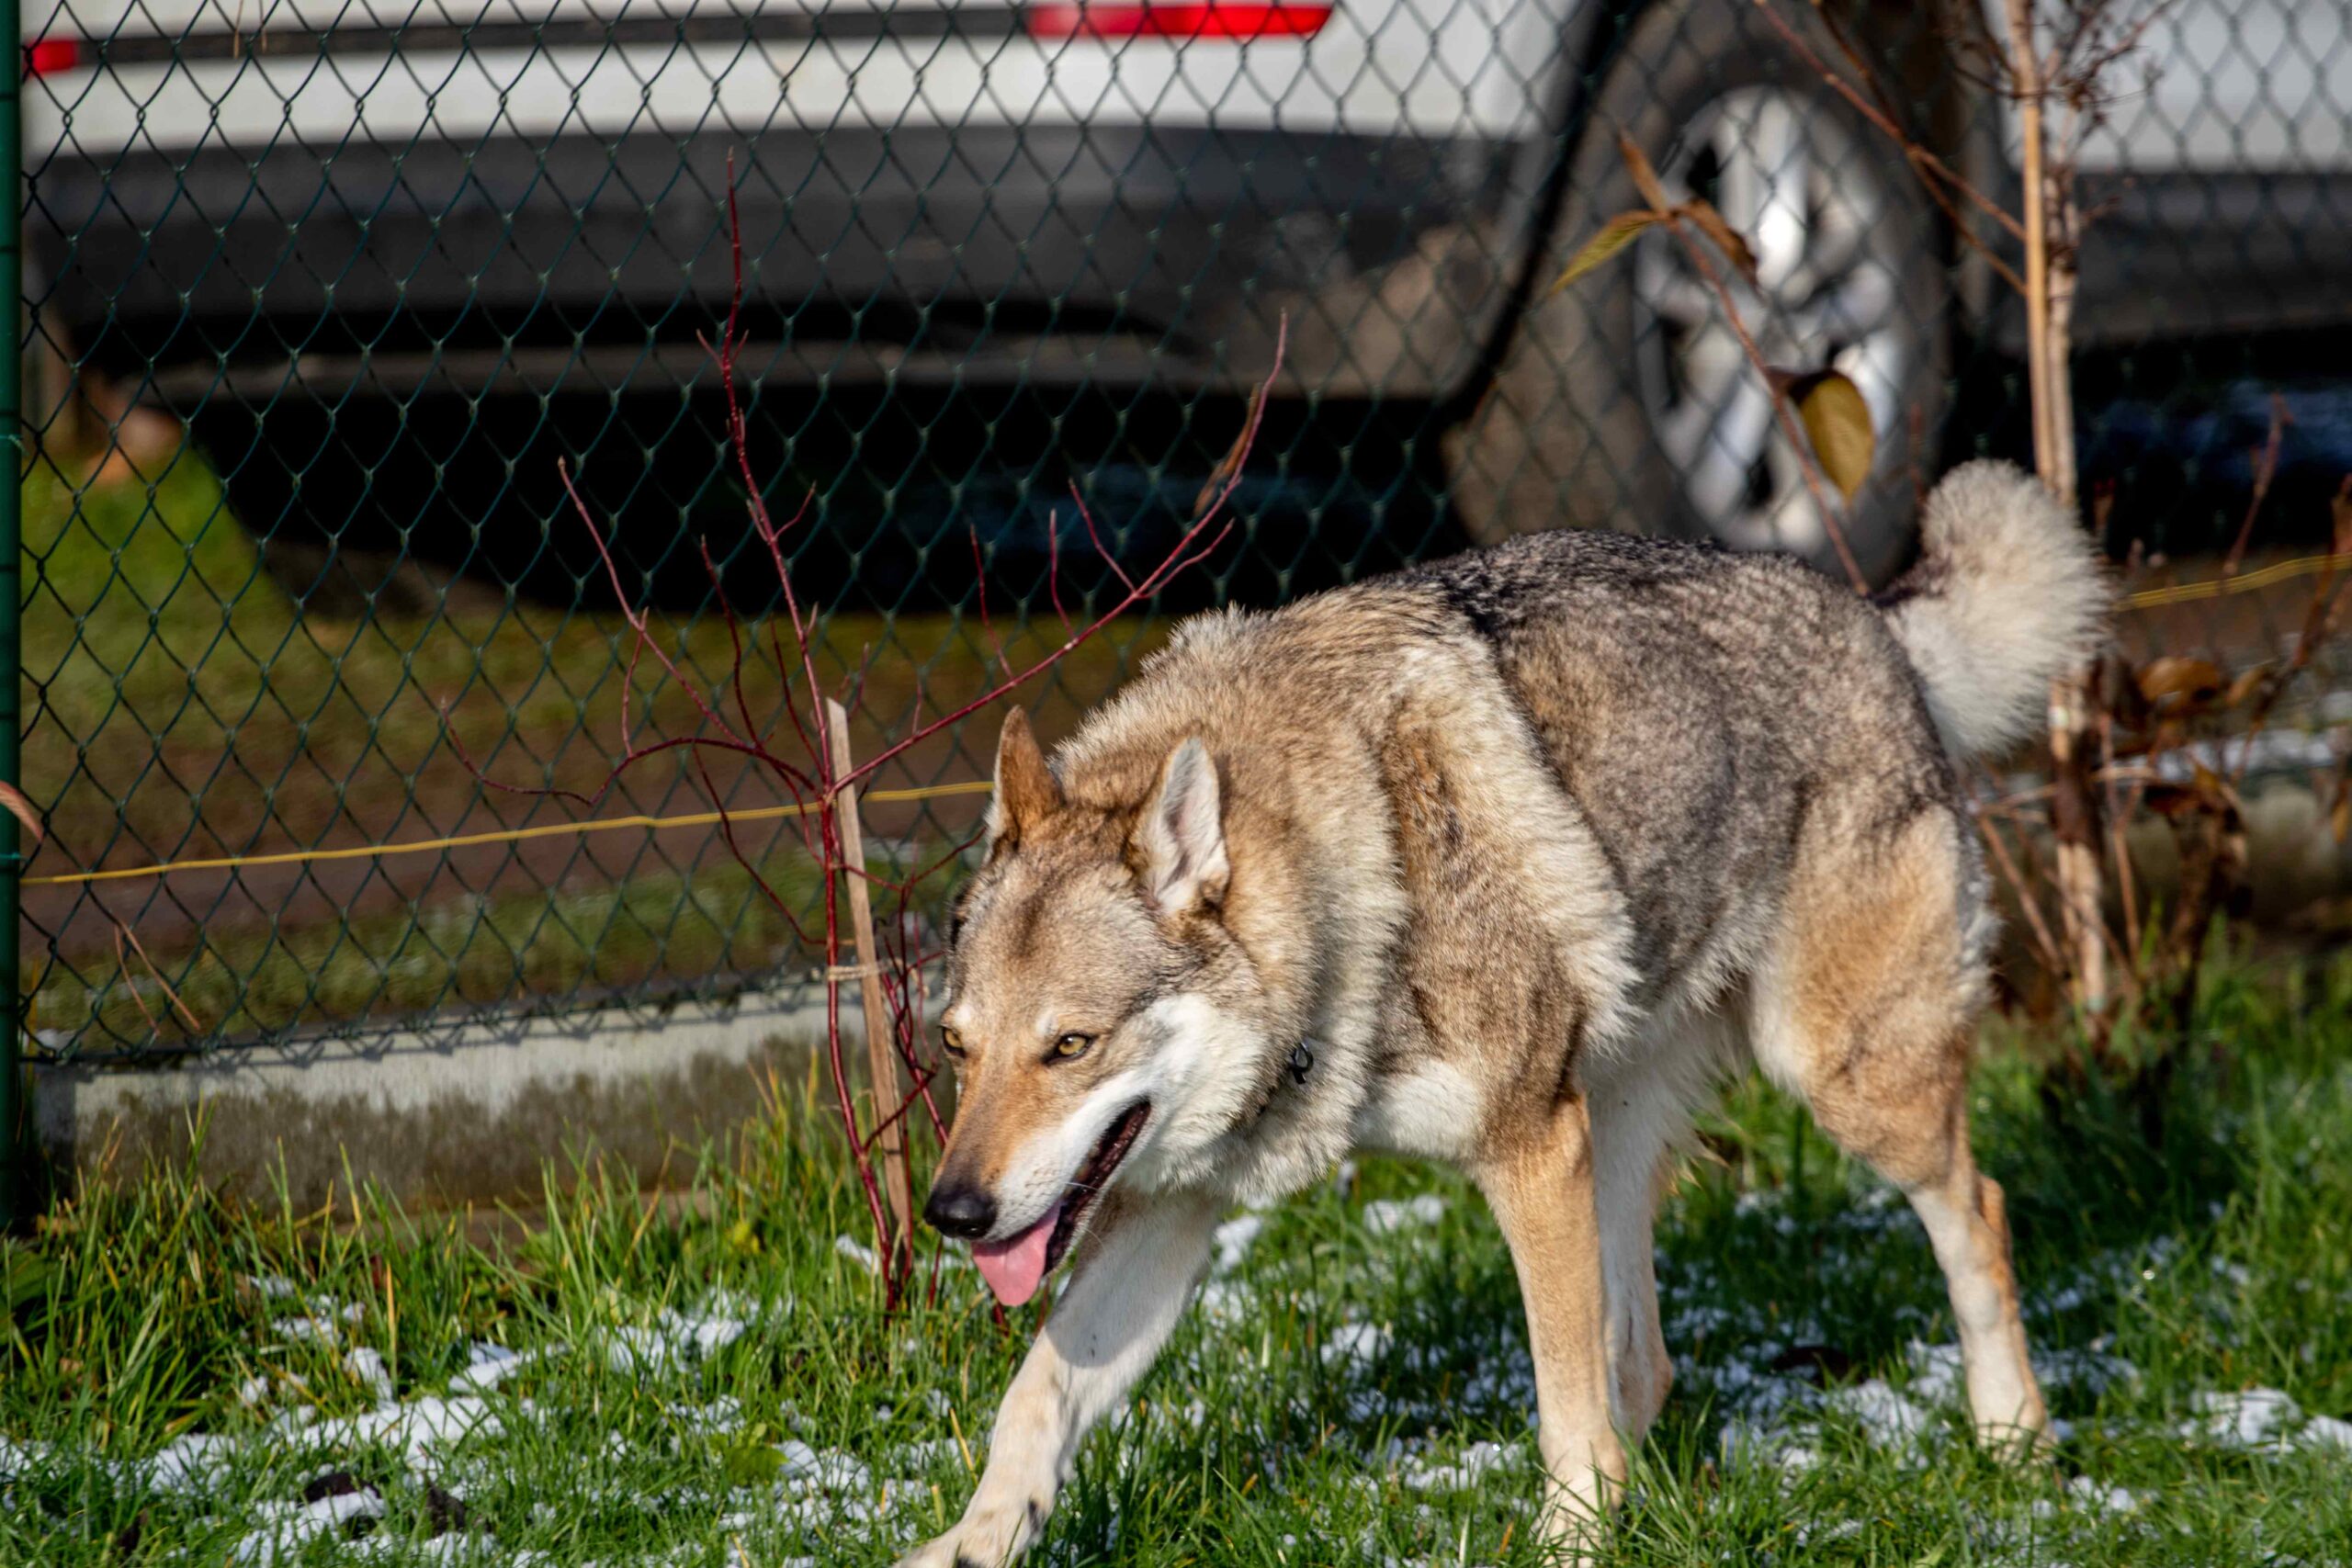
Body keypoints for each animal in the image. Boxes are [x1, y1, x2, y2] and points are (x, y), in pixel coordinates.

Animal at [898, 460, 2106, 1566]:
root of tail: (1875, 619)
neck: (1349, 896)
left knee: (1979, 1210)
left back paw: (2012, 1442)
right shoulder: (1173, 1205)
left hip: (1837, 1086)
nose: (952, 1214)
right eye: (956, 1046)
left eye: (1070, 1045)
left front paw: (1571, 1543)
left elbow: (1559, 1396)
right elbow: (1035, 1398)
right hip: (1612, 1131)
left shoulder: (1527, 1149)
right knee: (1645, 1362)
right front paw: (969, 1545)